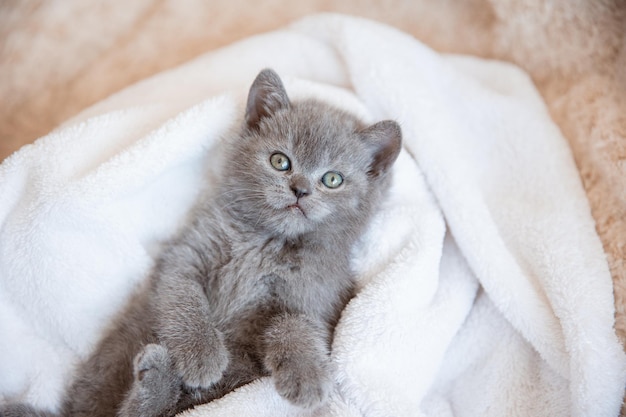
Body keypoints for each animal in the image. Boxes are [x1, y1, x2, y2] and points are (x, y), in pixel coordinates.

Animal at [1, 68, 400, 416]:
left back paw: (156, 376)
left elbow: (294, 324)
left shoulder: (316, 297)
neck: (265, 241)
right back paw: (158, 375)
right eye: (280, 161)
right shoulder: (187, 253)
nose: (300, 189)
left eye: (333, 179)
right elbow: (185, 299)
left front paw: (307, 378)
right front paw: (202, 356)